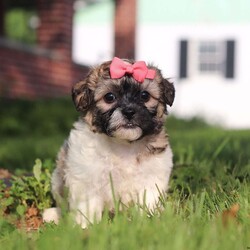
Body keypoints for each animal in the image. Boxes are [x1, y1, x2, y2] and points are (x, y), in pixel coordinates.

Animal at [43, 57, 175, 229]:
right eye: (109, 97)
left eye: (145, 95)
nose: (129, 111)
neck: (124, 144)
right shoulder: (87, 177)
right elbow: (88, 205)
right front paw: (87, 227)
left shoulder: (152, 177)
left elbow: (149, 200)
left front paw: (149, 222)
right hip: (57, 180)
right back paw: (54, 215)